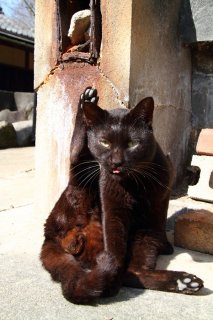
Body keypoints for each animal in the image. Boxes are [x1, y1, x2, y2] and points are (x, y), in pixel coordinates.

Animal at [40, 87, 204, 304]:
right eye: (104, 143)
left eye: (132, 143)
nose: (116, 162)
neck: (135, 184)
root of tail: (49, 234)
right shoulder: (113, 210)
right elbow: (115, 247)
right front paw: (108, 281)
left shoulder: (152, 213)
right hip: (85, 178)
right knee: (75, 155)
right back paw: (85, 101)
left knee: (134, 273)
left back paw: (184, 282)